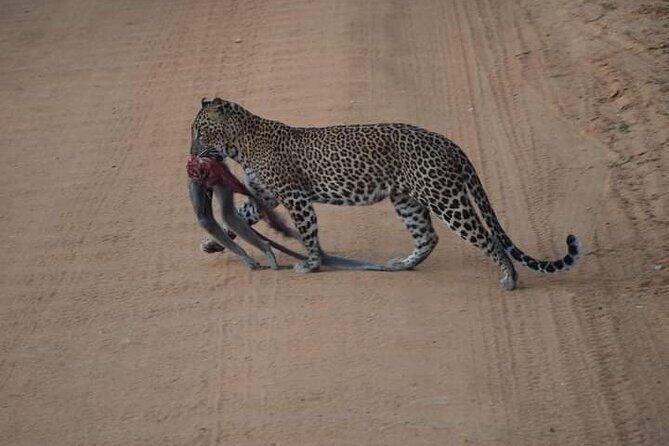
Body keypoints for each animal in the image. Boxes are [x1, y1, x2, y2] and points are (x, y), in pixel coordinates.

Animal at [192, 97, 580, 290]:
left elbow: (308, 234)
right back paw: (401, 265)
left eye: (199, 132)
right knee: (428, 237)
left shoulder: (296, 196)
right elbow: (243, 215)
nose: (192, 152)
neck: (240, 143)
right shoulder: (267, 195)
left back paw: (509, 279)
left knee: (486, 237)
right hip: (407, 200)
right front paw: (211, 243)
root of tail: (450, 143)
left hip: (446, 198)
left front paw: (312, 264)